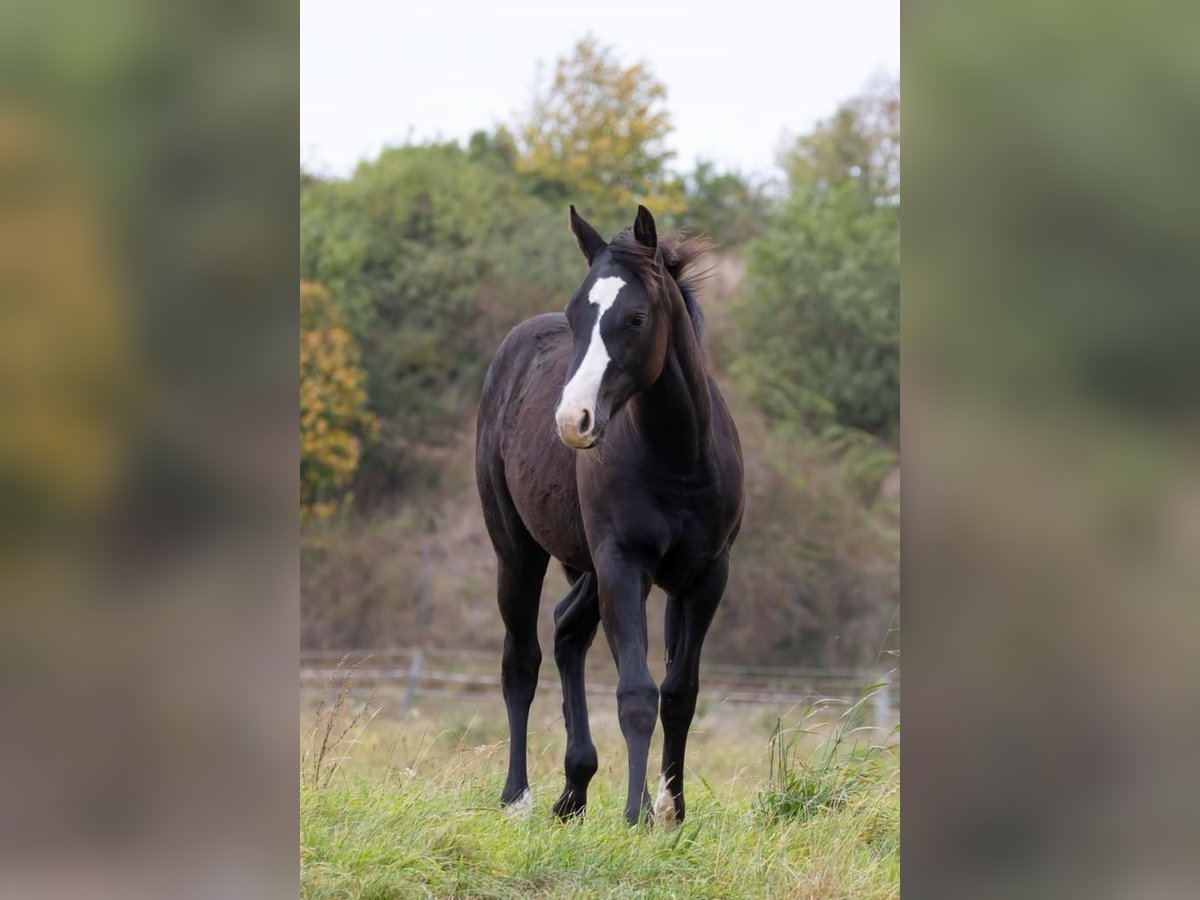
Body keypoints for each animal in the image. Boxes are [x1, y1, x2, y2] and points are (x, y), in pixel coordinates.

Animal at [475, 207, 739, 830]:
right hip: (517, 550)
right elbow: (636, 692)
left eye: (636, 318)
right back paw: (518, 798)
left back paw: (574, 790)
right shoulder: (624, 565)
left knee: (568, 632)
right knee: (521, 660)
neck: (679, 458)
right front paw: (636, 816)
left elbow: (680, 691)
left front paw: (672, 811)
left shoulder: (705, 575)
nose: (573, 420)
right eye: (577, 314)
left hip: (588, 569)